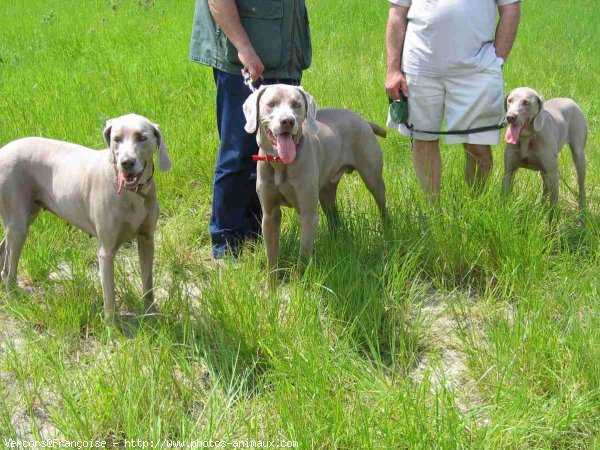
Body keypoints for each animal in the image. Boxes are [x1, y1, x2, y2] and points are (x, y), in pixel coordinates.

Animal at [0, 114, 172, 322]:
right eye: (116, 139)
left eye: (142, 137)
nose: (126, 162)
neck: (133, 193)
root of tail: (4, 149)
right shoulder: (106, 251)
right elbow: (109, 295)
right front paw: (111, 327)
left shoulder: (147, 240)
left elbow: (148, 284)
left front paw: (151, 317)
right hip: (18, 222)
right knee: (8, 270)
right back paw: (15, 300)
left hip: (27, 214)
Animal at [244, 84, 390, 286]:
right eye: (271, 104)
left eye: (296, 104)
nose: (287, 121)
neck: (281, 164)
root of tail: (364, 120)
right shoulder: (270, 214)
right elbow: (271, 255)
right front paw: (270, 289)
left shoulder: (308, 213)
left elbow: (303, 253)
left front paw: (298, 284)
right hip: (326, 191)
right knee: (334, 218)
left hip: (372, 177)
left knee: (382, 205)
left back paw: (388, 235)